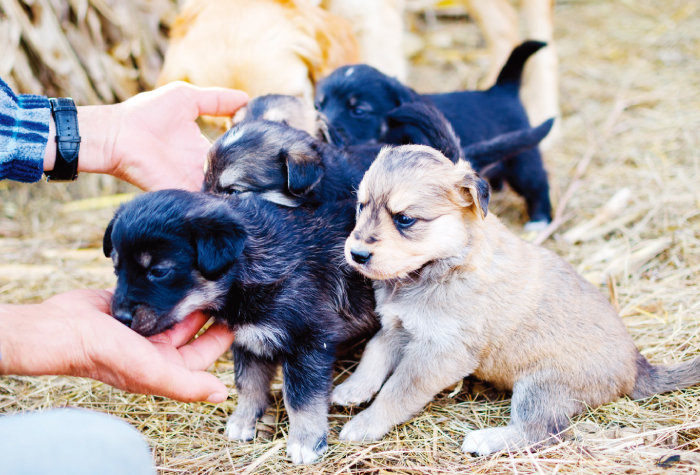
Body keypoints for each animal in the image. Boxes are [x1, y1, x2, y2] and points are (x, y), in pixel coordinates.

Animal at [103, 191, 378, 464]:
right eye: (116, 268)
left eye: (159, 271)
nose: (120, 317)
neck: (252, 263)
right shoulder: (249, 340)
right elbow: (248, 384)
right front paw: (243, 421)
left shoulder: (309, 341)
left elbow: (301, 398)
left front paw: (305, 441)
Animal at [316, 40, 552, 230]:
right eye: (318, 105)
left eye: (358, 110)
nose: (321, 130)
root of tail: (503, 89)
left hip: (523, 160)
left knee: (537, 182)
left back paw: (540, 220)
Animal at [338, 146, 700, 458]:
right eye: (362, 206)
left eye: (405, 219)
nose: (356, 254)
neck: (444, 263)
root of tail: (638, 366)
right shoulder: (398, 326)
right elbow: (373, 354)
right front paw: (353, 389)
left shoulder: (440, 353)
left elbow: (397, 392)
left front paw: (365, 424)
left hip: (540, 386)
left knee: (544, 431)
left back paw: (484, 439)